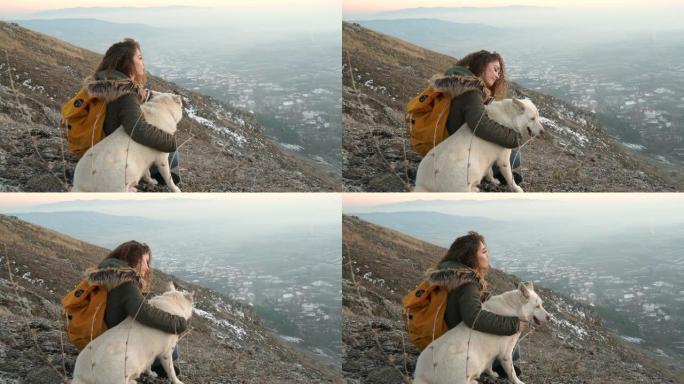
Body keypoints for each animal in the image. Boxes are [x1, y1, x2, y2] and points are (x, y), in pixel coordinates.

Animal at [412, 282, 552, 384]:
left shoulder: (491, 352)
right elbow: (511, 373)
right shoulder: (506, 354)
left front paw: (493, 374)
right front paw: (518, 382)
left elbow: (489, 365)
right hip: (471, 359)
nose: (550, 317)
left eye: (541, 305)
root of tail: (420, 376)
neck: (514, 309)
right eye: (537, 306)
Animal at [414, 97, 544, 194]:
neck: (509, 117)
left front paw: (493, 181)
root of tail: (422, 185)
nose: (543, 131)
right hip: (472, 166)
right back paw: (475, 189)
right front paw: (517, 189)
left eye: (538, 117)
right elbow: (510, 178)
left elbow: (489, 171)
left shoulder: (489, 158)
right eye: (532, 118)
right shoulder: (503, 160)